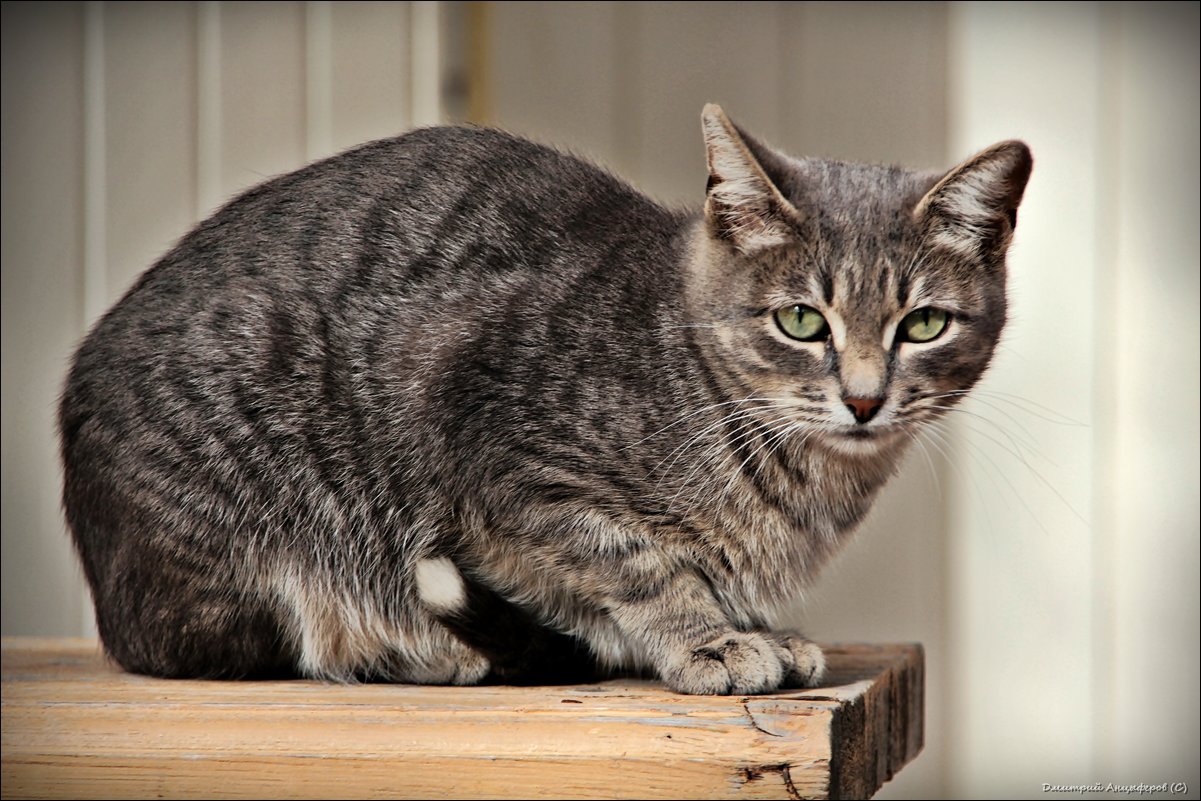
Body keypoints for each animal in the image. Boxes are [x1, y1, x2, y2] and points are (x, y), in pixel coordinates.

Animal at [58, 105, 1032, 696]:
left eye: (923, 324)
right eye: (800, 319)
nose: (864, 400)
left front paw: (753, 623)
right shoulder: (495, 452)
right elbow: (635, 562)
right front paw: (706, 636)